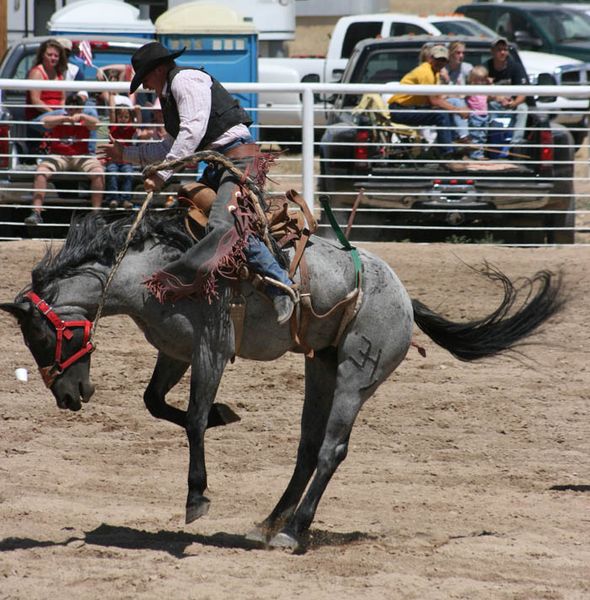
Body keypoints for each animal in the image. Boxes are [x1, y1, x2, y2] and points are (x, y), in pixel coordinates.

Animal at [1, 210, 564, 552]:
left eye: (44, 337)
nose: (69, 397)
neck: (159, 273)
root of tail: (405, 298)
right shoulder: (175, 351)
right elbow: (156, 402)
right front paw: (226, 415)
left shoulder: (212, 349)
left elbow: (193, 422)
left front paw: (197, 497)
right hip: (322, 367)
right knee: (308, 448)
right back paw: (271, 522)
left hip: (356, 375)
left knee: (332, 449)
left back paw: (295, 530)